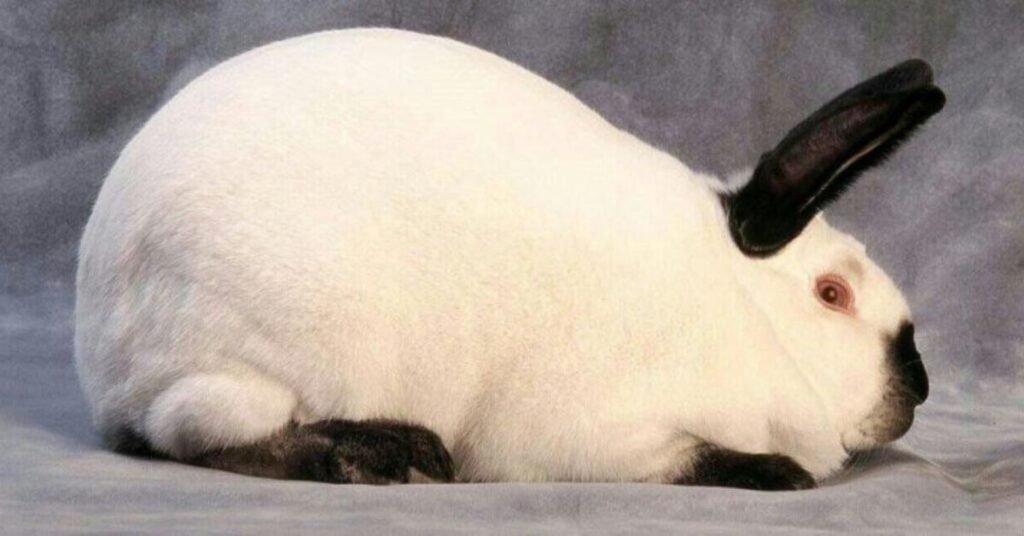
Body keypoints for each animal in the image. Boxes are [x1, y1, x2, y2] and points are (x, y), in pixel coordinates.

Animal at [74, 28, 943, 490]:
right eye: (832, 294)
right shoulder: (593, 433)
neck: (739, 305)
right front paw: (778, 472)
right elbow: (690, 457)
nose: (920, 384)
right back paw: (384, 453)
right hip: (278, 348)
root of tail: (102, 347)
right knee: (195, 432)